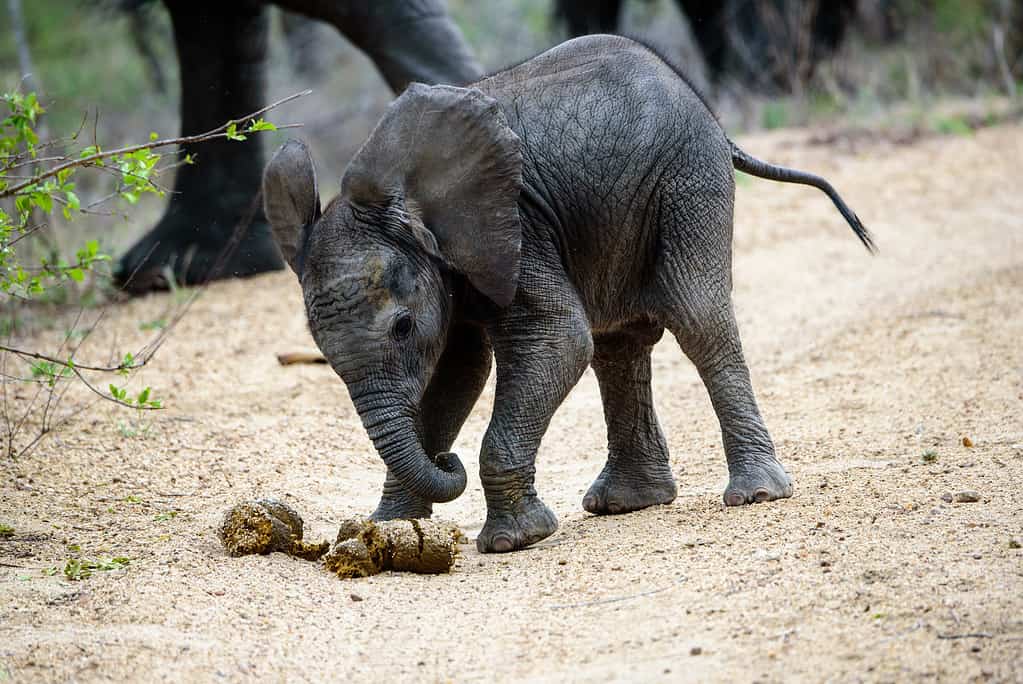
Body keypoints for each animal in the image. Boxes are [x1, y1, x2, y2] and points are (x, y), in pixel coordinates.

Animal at [263, 34, 871, 552]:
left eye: (402, 326)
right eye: (321, 349)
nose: (447, 462)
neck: (403, 201)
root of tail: (709, 114)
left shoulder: (518, 228)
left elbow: (556, 341)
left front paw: (515, 540)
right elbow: (457, 375)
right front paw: (387, 530)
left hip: (687, 179)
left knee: (699, 320)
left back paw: (756, 494)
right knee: (618, 345)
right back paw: (628, 504)